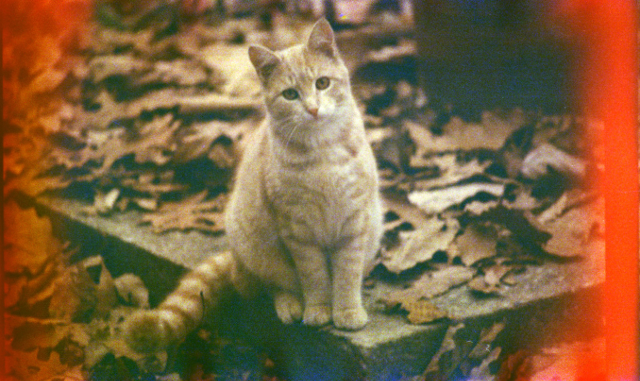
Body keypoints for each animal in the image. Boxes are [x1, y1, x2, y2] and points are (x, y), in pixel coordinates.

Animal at [124, 19, 382, 354]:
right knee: (268, 285)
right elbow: (314, 276)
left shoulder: (354, 220)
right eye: (290, 94)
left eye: (322, 83)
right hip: (256, 249)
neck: (323, 150)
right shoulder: (298, 230)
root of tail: (234, 258)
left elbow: (347, 273)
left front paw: (348, 310)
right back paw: (289, 305)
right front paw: (318, 309)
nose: (313, 109)